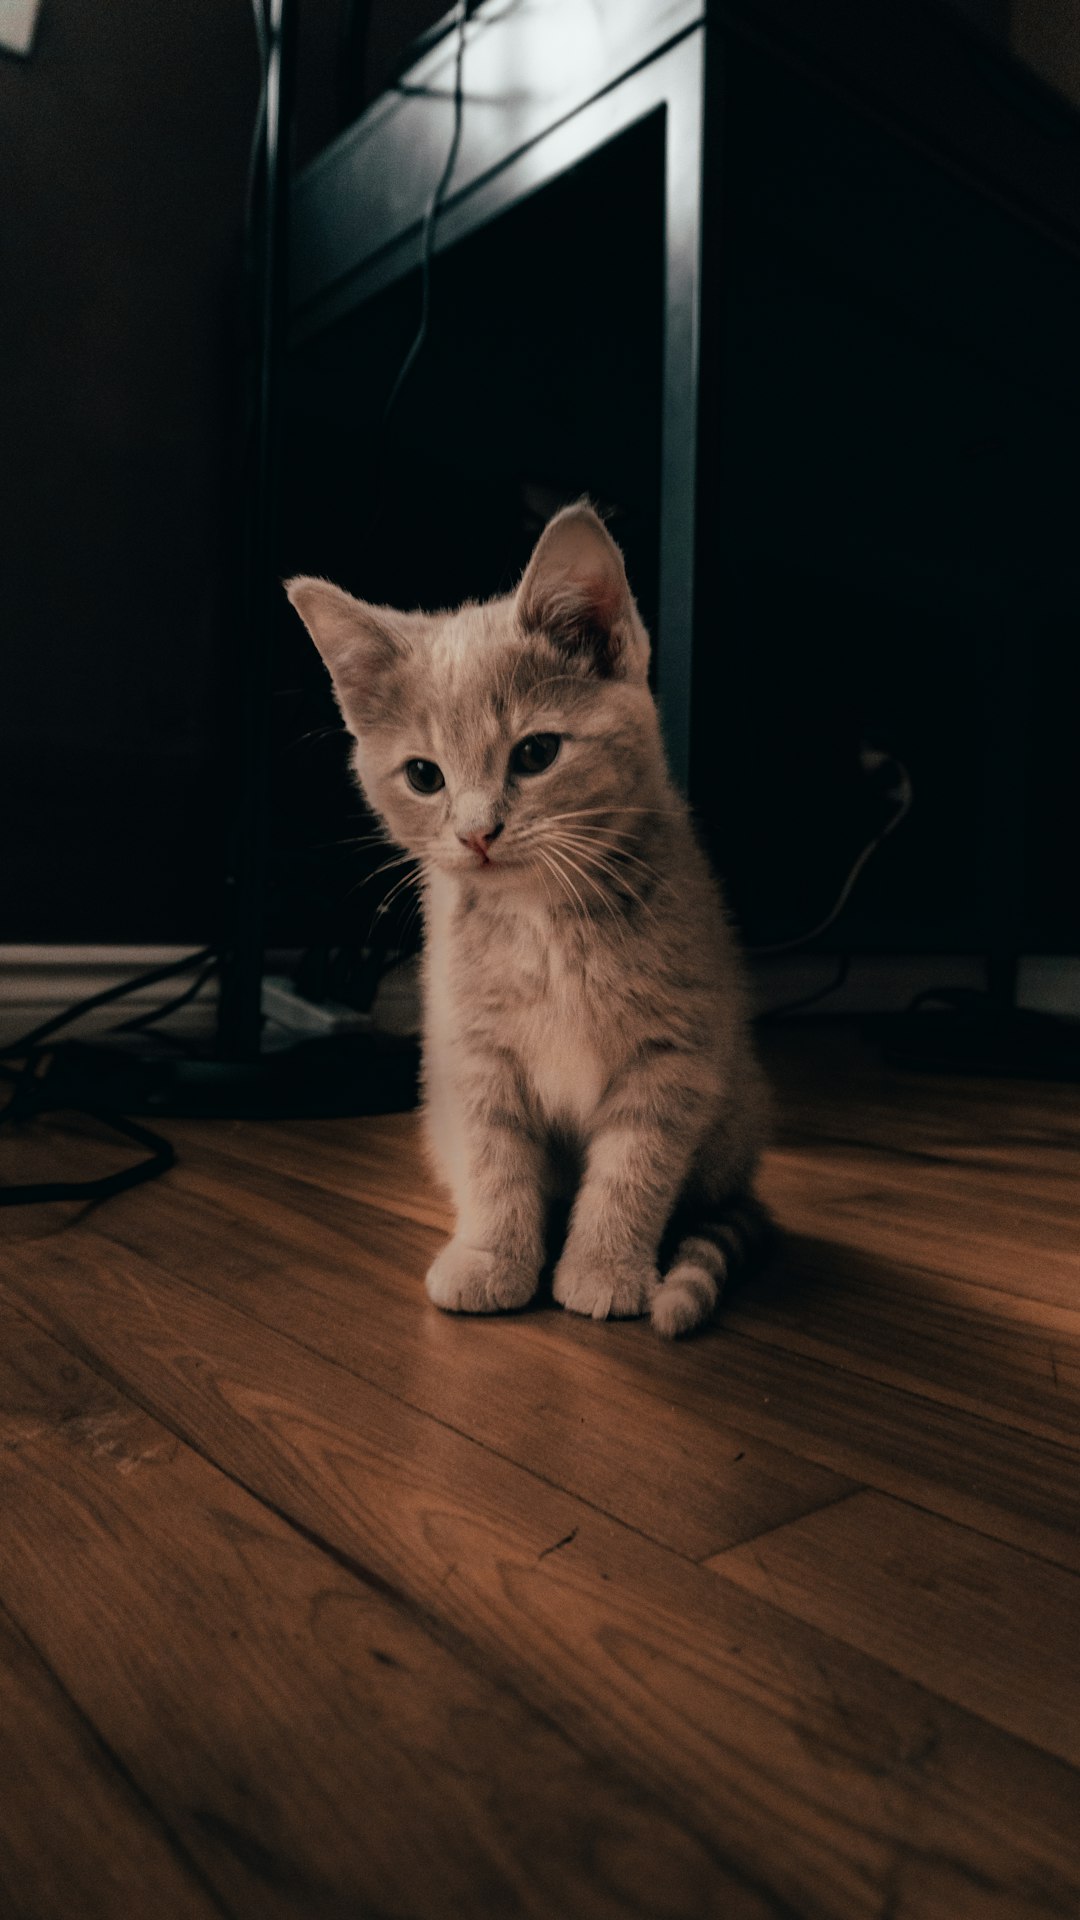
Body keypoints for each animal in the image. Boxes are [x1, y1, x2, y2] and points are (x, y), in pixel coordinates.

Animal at [286, 503, 768, 1328]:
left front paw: (605, 1265)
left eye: (537, 753)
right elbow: (495, 1164)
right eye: (425, 776)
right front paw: (493, 1257)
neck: (545, 926)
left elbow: (633, 1167)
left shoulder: (672, 1054)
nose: (478, 833)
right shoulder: (474, 1054)